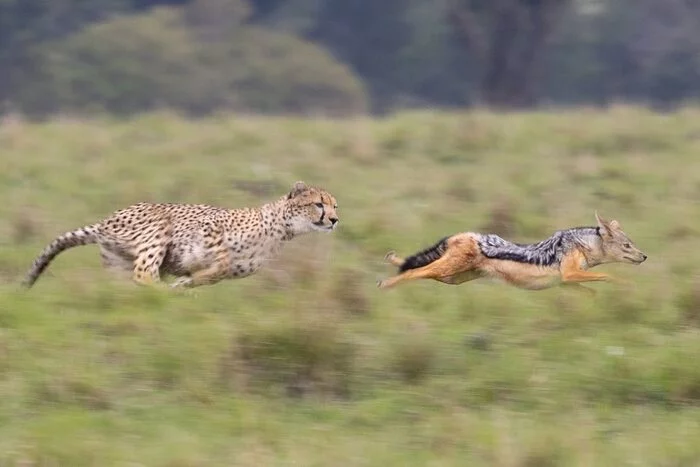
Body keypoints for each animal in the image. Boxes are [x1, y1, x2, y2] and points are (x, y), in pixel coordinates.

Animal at [21, 182, 340, 288]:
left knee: (129, 283)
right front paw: (179, 285)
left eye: (335, 206)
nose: (335, 220)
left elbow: (209, 275)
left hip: (117, 263)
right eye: (318, 204)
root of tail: (104, 222)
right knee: (144, 273)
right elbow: (220, 259)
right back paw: (158, 289)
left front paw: (183, 285)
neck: (282, 230)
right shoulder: (207, 225)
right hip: (158, 224)